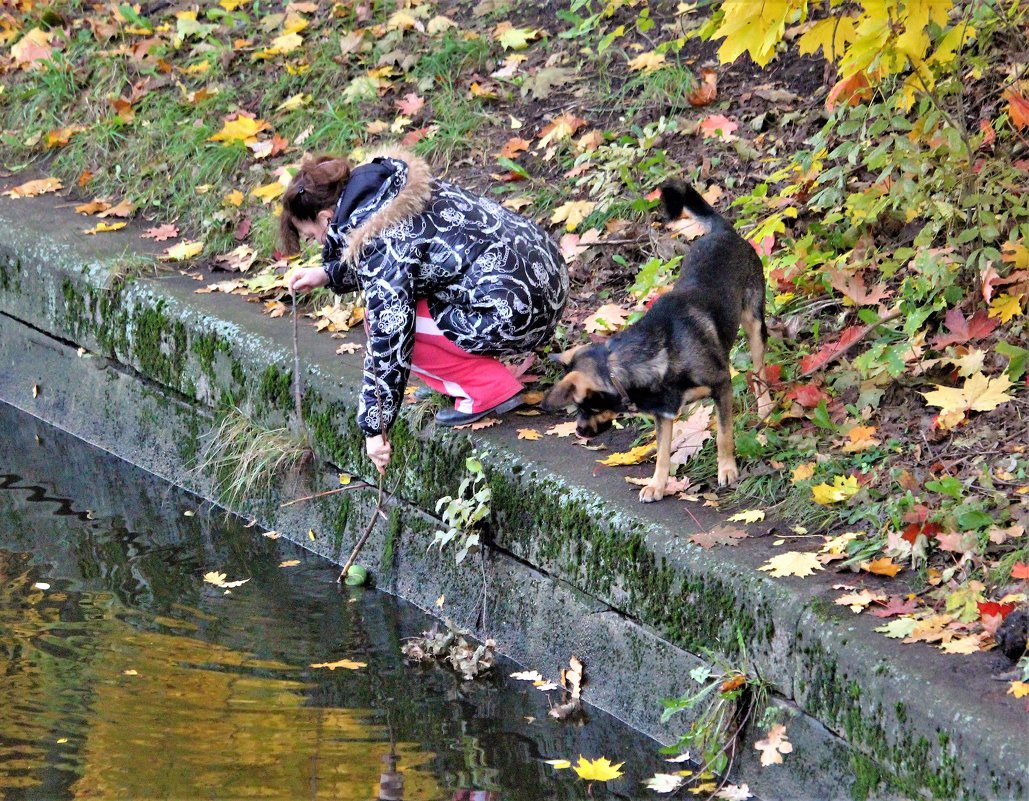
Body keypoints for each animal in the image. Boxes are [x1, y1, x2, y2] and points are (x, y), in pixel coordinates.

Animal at [547, 184, 773, 502]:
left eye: (586, 406)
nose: (579, 432)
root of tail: (723, 231)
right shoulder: (663, 414)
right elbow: (663, 454)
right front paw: (657, 485)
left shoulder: (722, 387)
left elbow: (724, 435)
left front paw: (727, 469)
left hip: (753, 322)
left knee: (758, 370)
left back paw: (765, 407)